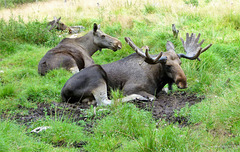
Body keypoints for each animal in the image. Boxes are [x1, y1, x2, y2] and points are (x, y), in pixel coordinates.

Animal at [61, 32, 211, 105]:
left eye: (180, 63)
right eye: (168, 65)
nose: (183, 83)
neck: (158, 79)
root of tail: (63, 93)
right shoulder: (129, 88)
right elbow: (153, 96)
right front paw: (144, 96)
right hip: (97, 76)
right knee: (104, 102)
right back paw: (137, 97)